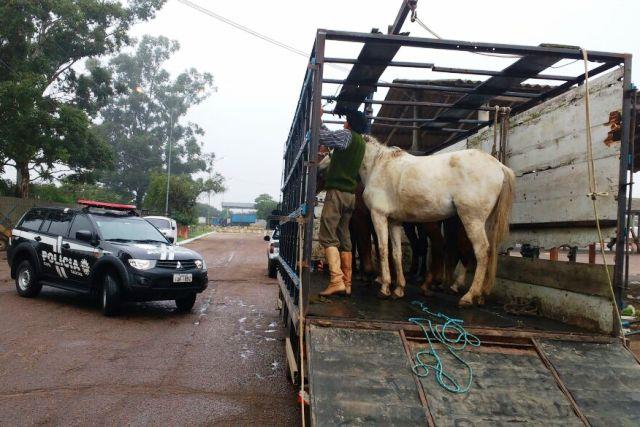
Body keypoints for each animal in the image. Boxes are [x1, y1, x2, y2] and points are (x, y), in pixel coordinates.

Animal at [360, 135, 516, 306]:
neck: (379, 165)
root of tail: (500, 166)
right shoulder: (395, 221)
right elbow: (396, 253)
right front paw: (399, 289)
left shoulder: (379, 215)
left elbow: (382, 250)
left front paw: (385, 288)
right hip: (486, 223)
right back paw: (479, 296)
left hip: (472, 219)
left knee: (481, 251)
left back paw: (468, 296)